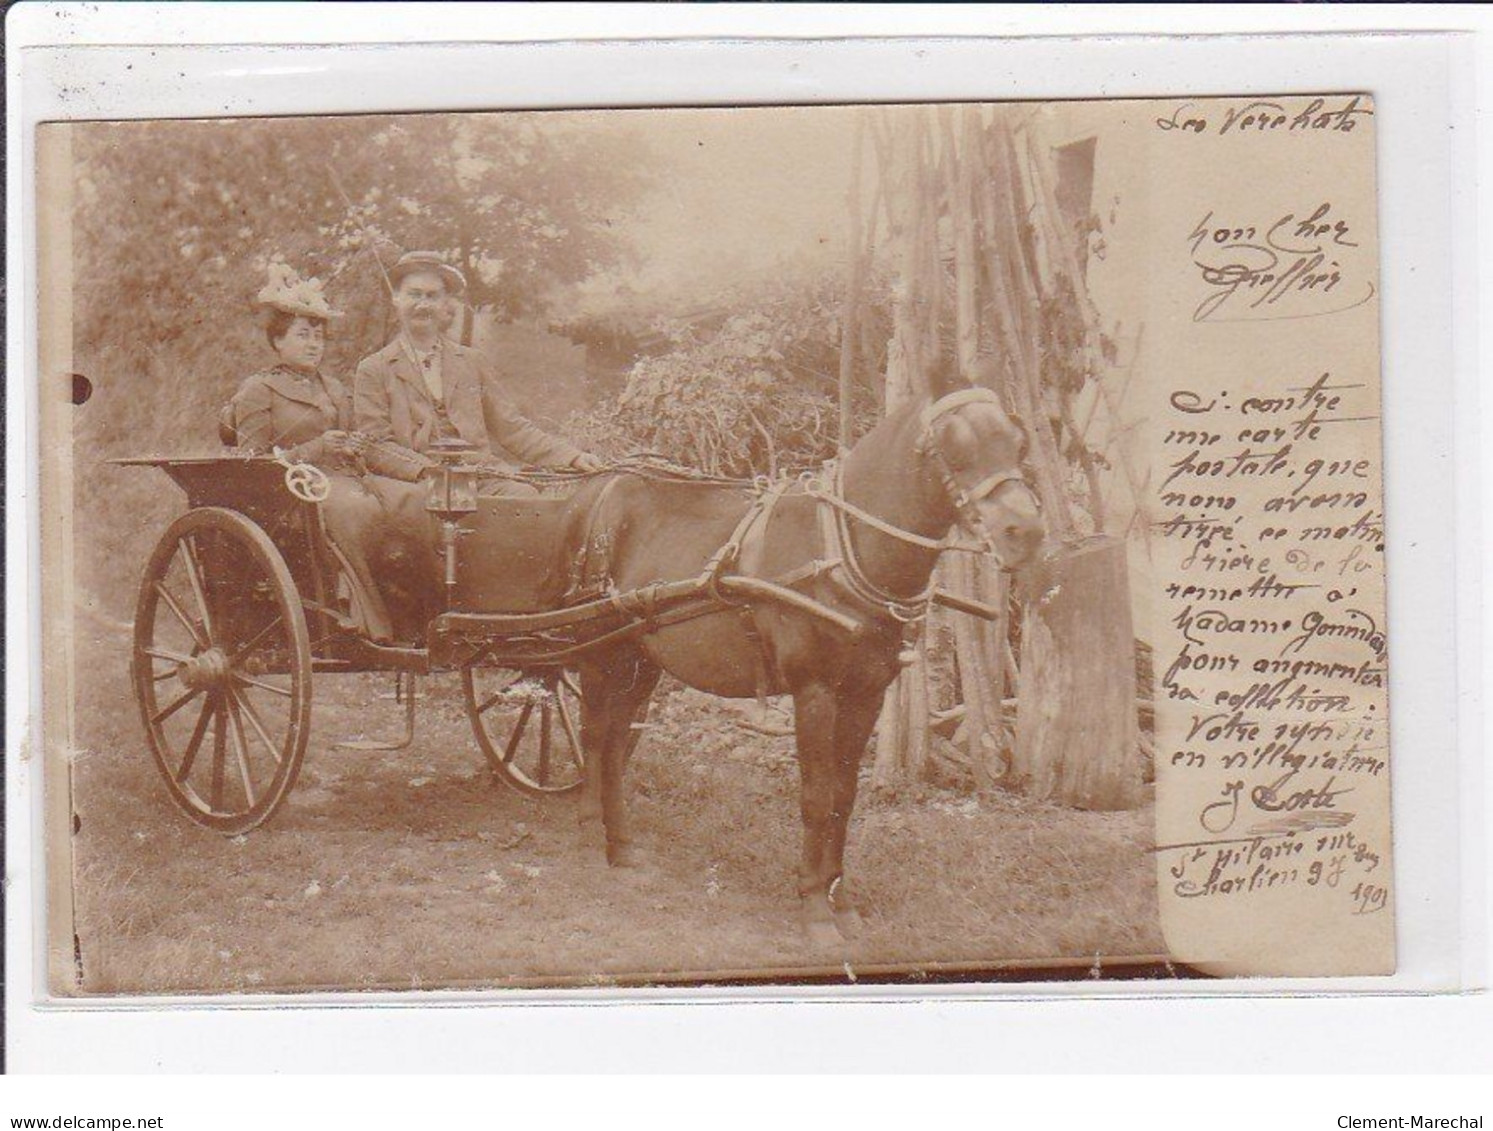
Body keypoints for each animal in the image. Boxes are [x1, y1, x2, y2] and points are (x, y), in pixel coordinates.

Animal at [558, 387, 1039, 948]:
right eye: (956, 448)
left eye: (1018, 443)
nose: (1026, 532)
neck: (844, 551)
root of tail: (602, 487)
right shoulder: (814, 692)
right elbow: (815, 795)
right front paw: (814, 907)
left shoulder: (867, 693)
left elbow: (843, 797)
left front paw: (841, 900)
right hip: (600, 652)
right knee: (594, 737)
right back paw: (589, 833)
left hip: (639, 658)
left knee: (616, 744)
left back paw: (623, 845)